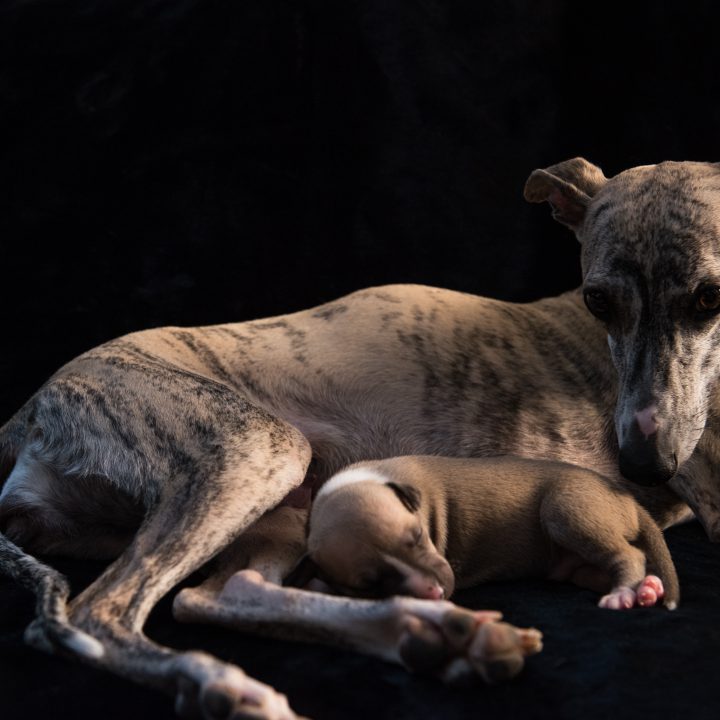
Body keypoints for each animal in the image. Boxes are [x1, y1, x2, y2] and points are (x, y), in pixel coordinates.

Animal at [308, 456, 680, 608]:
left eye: (417, 536)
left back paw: (623, 594)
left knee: (629, 555)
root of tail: (628, 499)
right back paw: (648, 589)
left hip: (569, 510)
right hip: (574, 564)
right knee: (601, 569)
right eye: (370, 583)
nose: (436, 592)